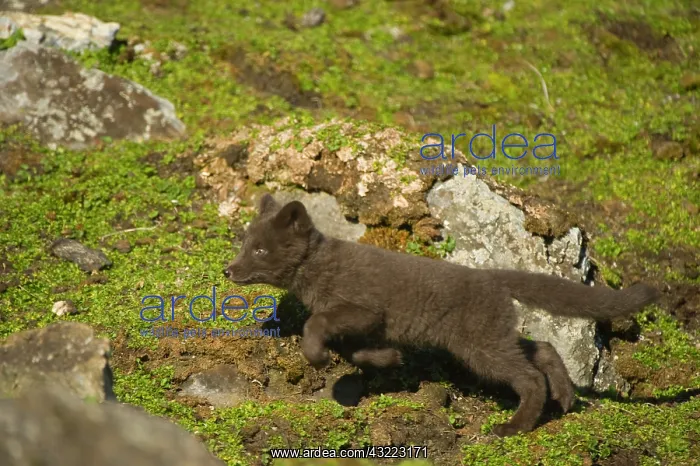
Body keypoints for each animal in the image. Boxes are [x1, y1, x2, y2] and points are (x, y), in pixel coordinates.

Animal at [223, 193, 661, 436]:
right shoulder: (369, 325)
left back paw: (513, 427)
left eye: (259, 250)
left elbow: (317, 324)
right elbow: (359, 351)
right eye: (244, 244)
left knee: (530, 376)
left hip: (480, 347)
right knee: (544, 348)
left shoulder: (363, 309)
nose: (228, 270)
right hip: (492, 336)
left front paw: (316, 356)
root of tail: (493, 276)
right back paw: (566, 398)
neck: (320, 270)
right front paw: (390, 359)